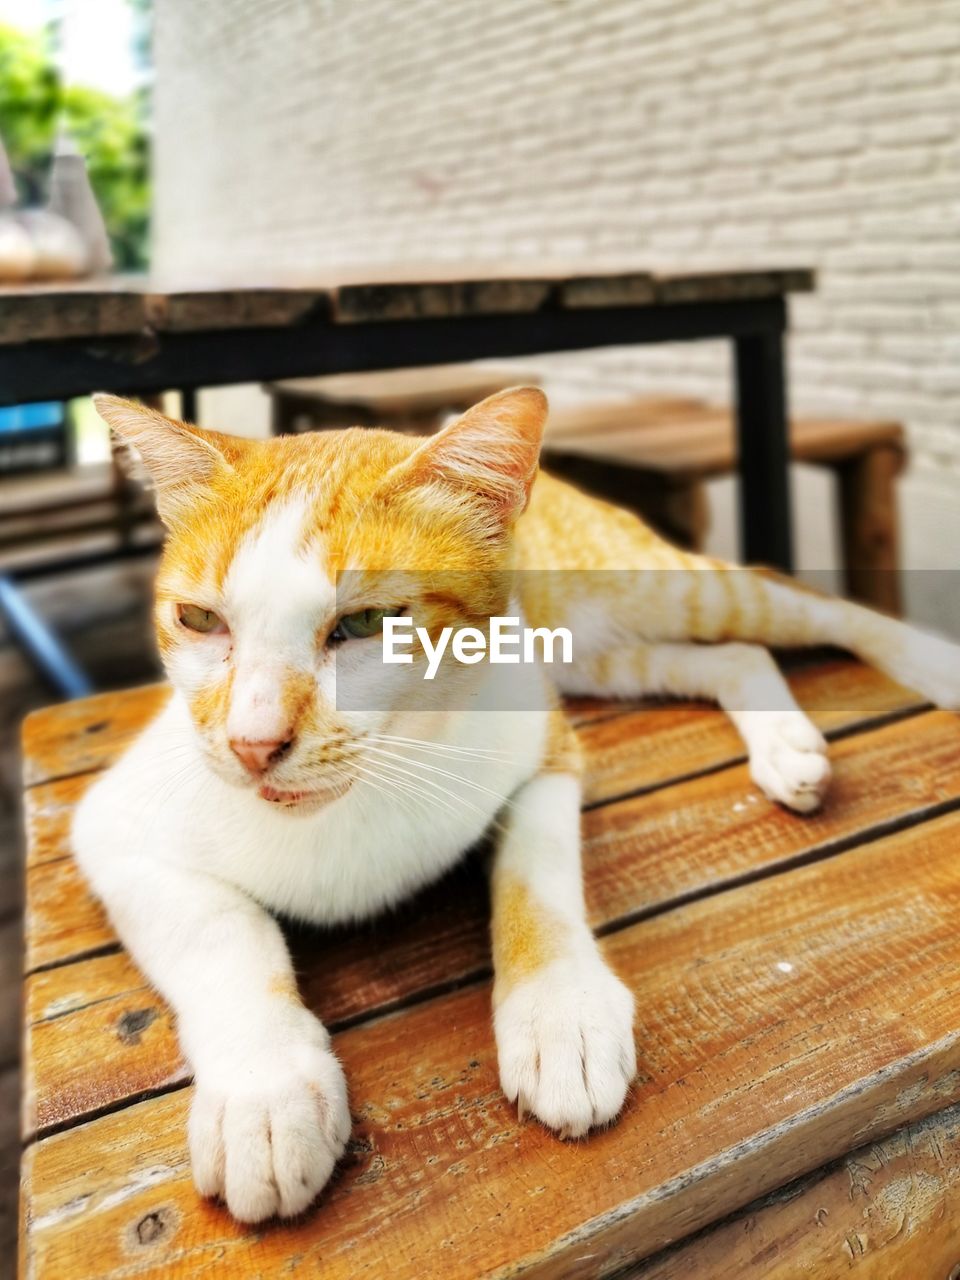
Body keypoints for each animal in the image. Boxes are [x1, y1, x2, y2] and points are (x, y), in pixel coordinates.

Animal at [75, 386, 960, 1218]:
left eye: (366, 622)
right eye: (198, 618)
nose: (252, 744)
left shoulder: (544, 749)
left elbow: (536, 874)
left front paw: (559, 1011)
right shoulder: (114, 829)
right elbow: (223, 935)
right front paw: (265, 1092)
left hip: (644, 596)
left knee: (797, 605)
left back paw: (928, 665)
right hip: (588, 655)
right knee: (735, 654)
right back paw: (784, 743)